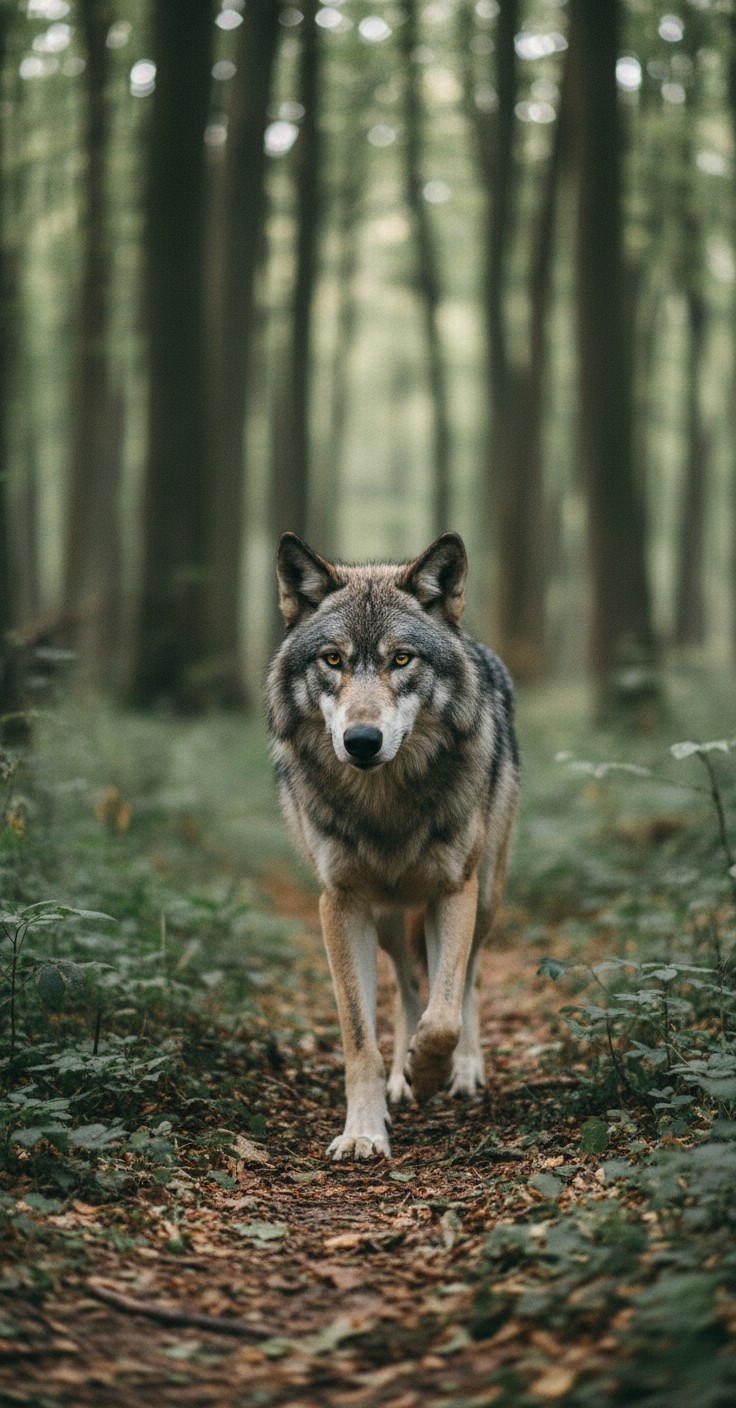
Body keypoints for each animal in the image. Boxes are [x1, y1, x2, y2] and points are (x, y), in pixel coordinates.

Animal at [266, 531, 519, 1160]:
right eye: (332, 659)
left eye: (401, 659)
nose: (362, 740)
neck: (385, 805)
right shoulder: (340, 903)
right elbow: (361, 1038)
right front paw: (364, 1128)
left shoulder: (454, 891)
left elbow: (444, 1015)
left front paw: (432, 1071)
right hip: (386, 918)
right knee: (406, 985)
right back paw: (402, 1076)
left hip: (485, 897)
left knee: (468, 979)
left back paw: (464, 1071)